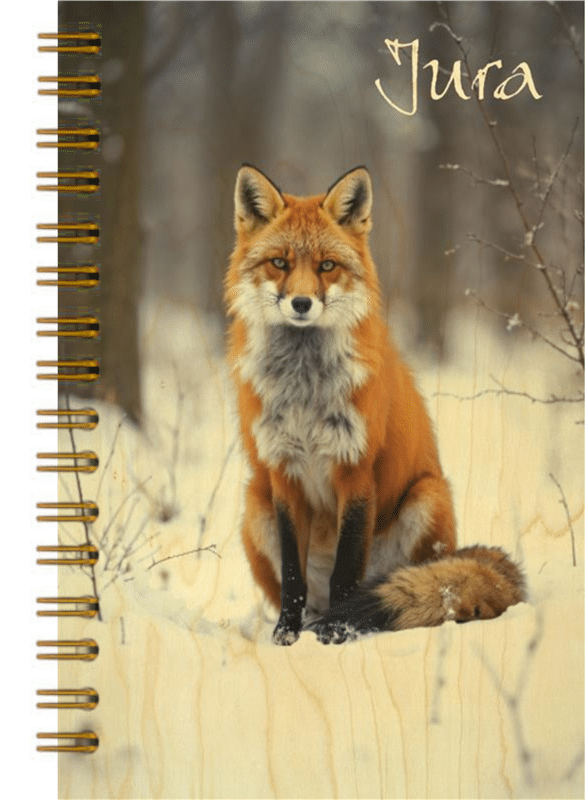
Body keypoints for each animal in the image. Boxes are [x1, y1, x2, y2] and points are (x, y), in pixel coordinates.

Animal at [224, 164, 526, 645]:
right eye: (280, 263)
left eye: (327, 266)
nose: (302, 303)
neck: (306, 389)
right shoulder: (283, 474)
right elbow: (292, 575)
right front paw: (286, 636)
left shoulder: (356, 470)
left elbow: (346, 571)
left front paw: (339, 632)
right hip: (255, 506)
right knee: (308, 592)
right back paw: (309, 622)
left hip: (427, 496)